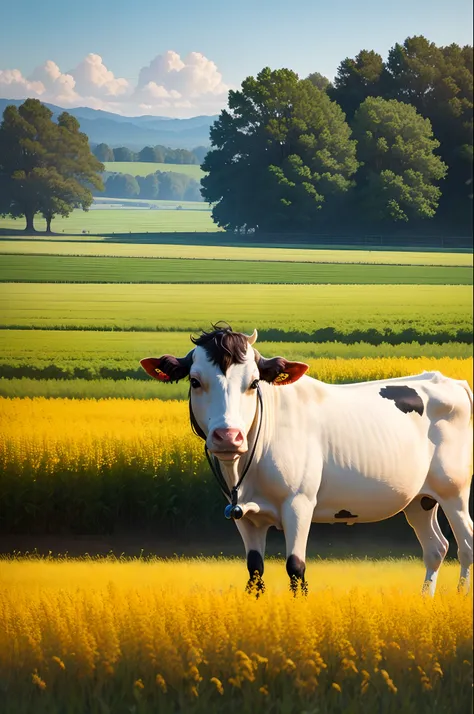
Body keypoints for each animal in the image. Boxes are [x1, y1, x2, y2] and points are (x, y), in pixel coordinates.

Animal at [141, 326, 474, 592]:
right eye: (195, 381)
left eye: (253, 383)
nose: (228, 436)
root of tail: (450, 382)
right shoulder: (244, 515)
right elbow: (254, 571)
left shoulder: (299, 503)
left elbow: (295, 568)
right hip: (420, 498)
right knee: (436, 548)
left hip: (454, 489)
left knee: (466, 545)